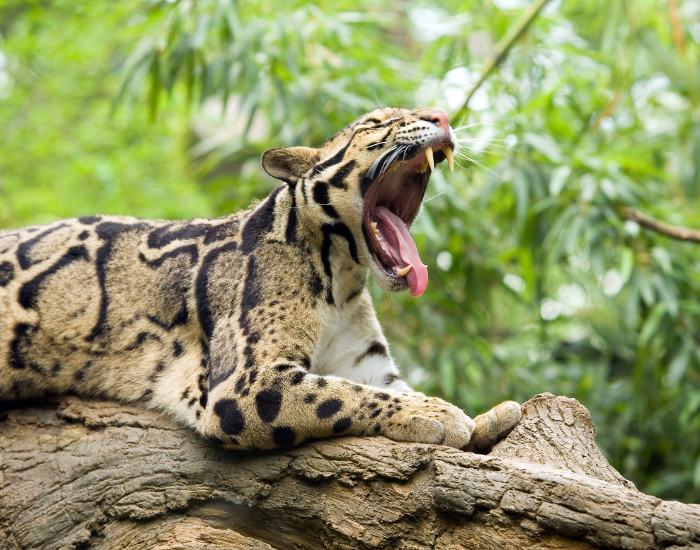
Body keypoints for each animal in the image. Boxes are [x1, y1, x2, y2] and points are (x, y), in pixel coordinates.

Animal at [0, 106, 521, 452]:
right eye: (376, 123)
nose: (443, 115)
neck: (342, 282)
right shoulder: (244, 382)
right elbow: (340, 395)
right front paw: (438, 413)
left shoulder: (366, 363)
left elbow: (378, 388)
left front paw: (486, 417)